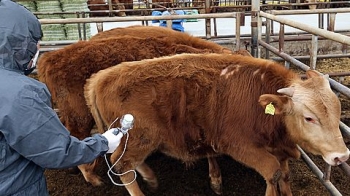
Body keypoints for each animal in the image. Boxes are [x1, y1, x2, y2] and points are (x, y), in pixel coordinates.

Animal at [85, 52, 350, 195]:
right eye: (309, 117)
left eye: (338, 112)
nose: (342, 156)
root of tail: (101, 77)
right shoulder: (239, 145)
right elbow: (273, 173)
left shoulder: (279, 147)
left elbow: (284, 174)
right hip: (138, 138)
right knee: (121, 165)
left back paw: (150, 178)